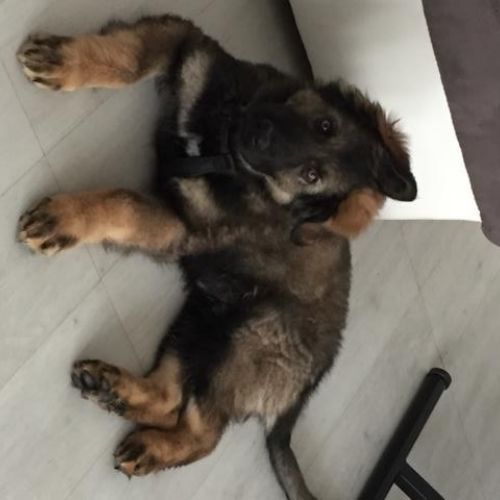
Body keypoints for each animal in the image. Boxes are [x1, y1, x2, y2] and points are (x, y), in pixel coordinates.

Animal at [16, 14, 416, 500]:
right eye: (324, 126)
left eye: (312, 175)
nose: (260, 133)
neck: (225, 150)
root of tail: (305, 391)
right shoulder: (187, 46)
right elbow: (131, 57)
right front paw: (64, 61)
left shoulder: (180, 226)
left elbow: (123, 202)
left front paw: (63, 219)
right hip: (200, 323)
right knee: (169, 398)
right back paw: (110, 388)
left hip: (237, 350)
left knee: (203, 433)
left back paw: (152, 447)